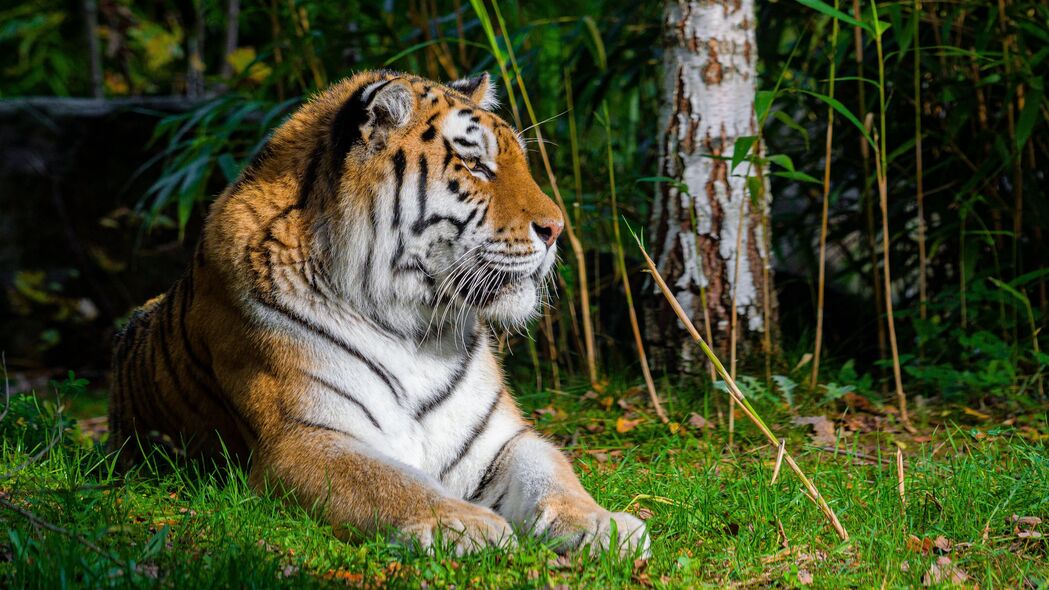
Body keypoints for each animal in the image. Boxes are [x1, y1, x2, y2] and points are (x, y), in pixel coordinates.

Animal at [108, 69, 646, 554]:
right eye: (475, 166)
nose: (556, 229)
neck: (416, 330)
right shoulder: (305, 439)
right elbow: (393, 484)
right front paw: (468, 525)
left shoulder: (500, 442)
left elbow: (552, 472)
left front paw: (603, 525)